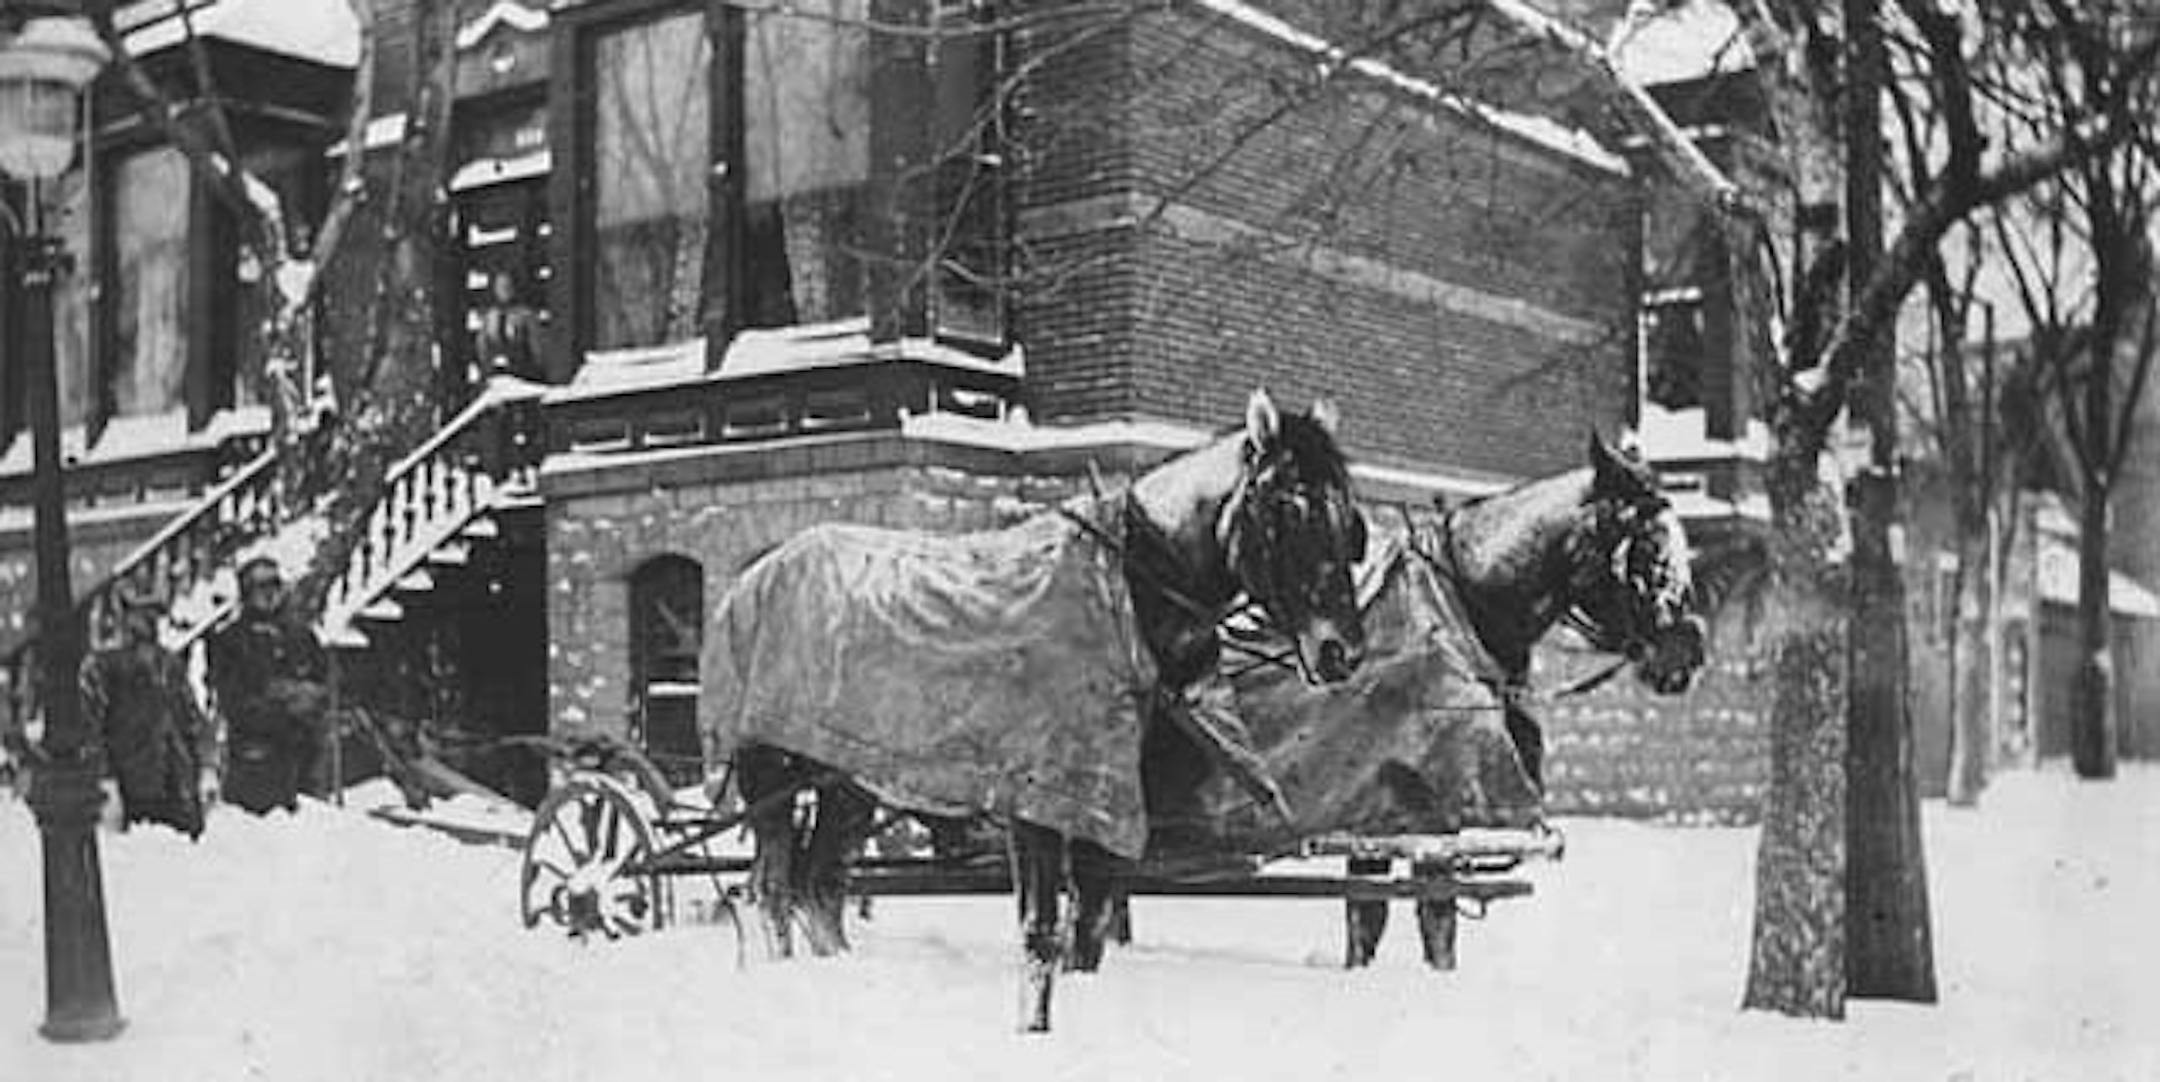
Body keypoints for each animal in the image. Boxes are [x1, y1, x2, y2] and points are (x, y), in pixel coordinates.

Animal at [707, 388, 1370, 1032]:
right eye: (1289, 509)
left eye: (1348, 520)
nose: (1342, 651)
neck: (1126, 592)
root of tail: (753, 578)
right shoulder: (1040, 805)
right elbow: (1041, 934)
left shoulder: (1103, 811)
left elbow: (1089, 933)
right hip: (769, 771)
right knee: (773, 889)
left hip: (848, 781)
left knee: (818, 888)